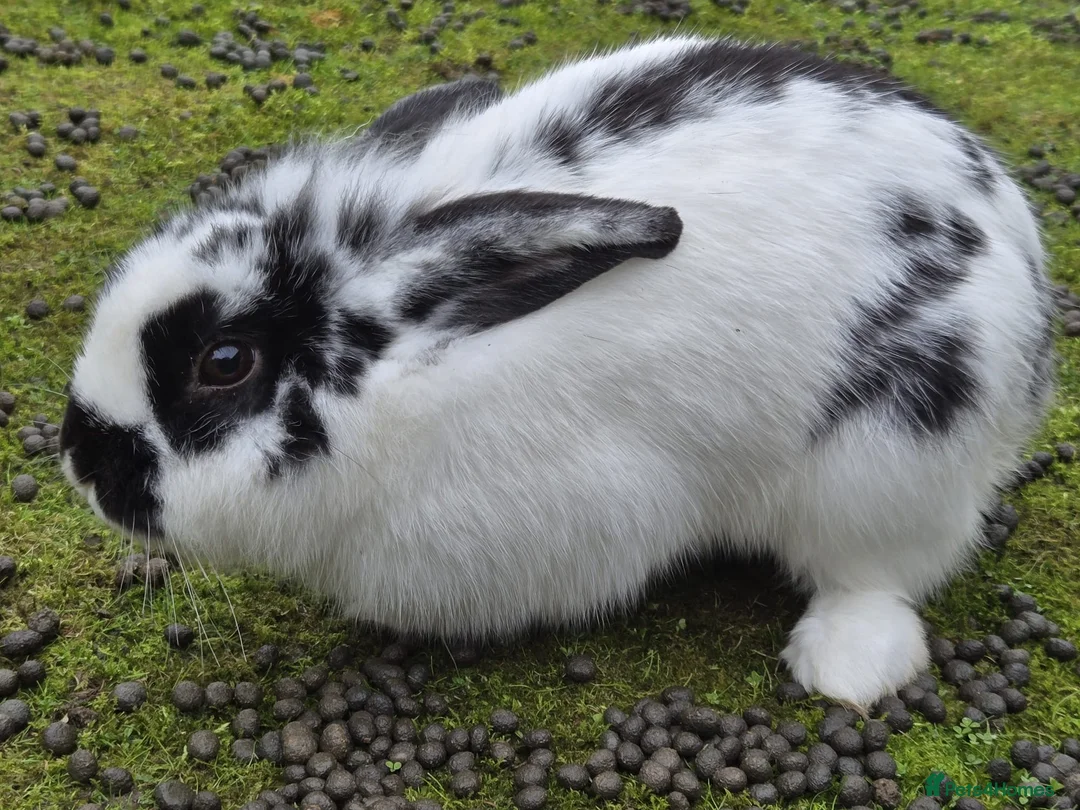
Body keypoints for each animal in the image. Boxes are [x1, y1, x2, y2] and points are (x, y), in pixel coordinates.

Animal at [59, 33, 1056, 708]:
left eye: (225, 363)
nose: (80, 460)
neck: (400, 382)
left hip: (882, 463)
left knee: (879, 572)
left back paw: (841, 669)